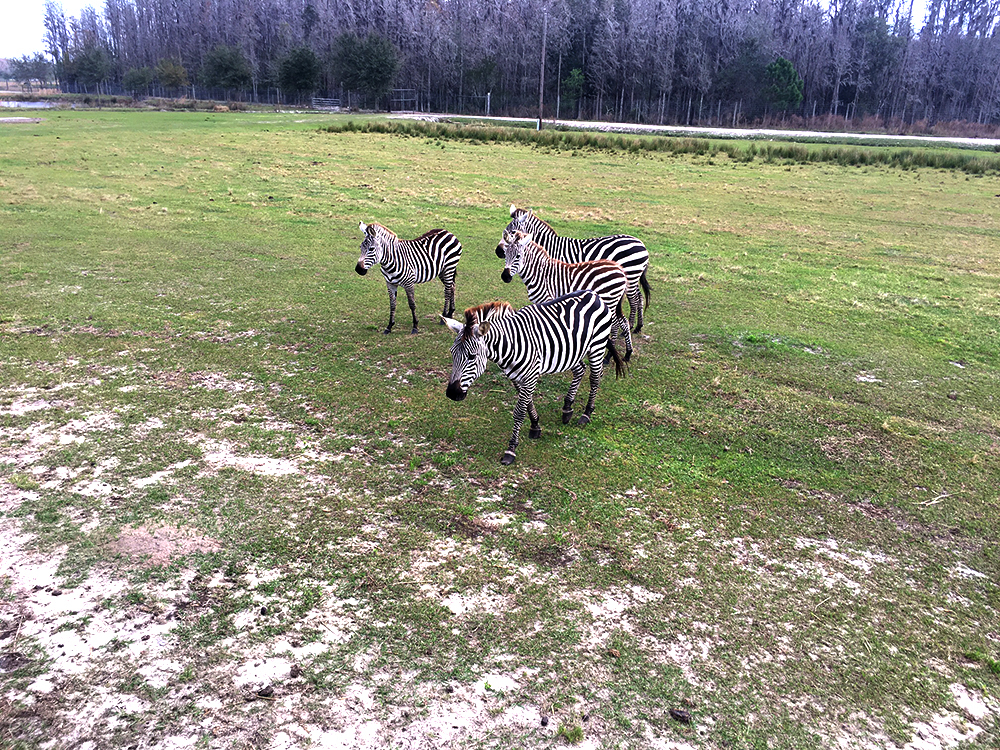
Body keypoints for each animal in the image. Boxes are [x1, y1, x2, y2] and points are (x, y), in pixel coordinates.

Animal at [446, 292, 624, 464]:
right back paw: (567, 409)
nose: (452, 394)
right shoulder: (515, 376)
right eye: (452, 353)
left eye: (471, 357)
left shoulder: (530, 376)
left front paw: (511, 450)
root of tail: (594, 295)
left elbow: (519, 411)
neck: (510, 345)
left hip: (597, 347)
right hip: (572, 352)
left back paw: (586, 413)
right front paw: (535, 425)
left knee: (595, 377)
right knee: (580, 370)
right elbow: (528, 402)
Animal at [496, 206, 652, 334]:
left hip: (631, 276)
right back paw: (638, 326)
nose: (498, 251)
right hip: (633, 277)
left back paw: (631, 325)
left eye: (512, 232)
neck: (551, 247)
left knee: (634, 299)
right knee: (639, 297)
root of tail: (642, 245)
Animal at [500, 232, 632, 362]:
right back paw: (628, 353)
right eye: (505, 254)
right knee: (624, 322)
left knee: (615, 325)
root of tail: (620, 270)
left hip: (610, 301)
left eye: (518, 256)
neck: (539, 274)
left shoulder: (547, 299)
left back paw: (609, 356)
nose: (505, 277)